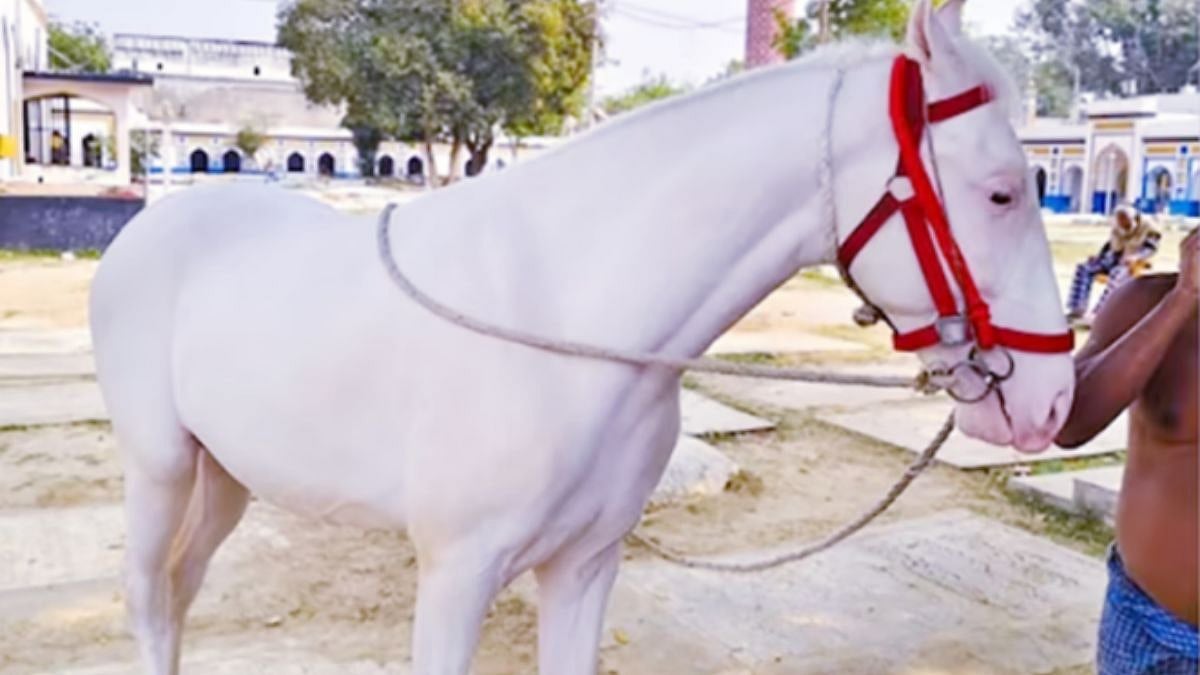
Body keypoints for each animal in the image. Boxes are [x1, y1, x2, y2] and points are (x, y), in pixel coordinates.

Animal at [89, 2, 1074, 673]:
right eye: (999, 190)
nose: (1050, 402)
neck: (570, 315)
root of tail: (151, 226)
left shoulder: (584, 567)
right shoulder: (455, 573)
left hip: (228, 475)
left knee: (181, 588)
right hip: (159, 468)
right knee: (148, 597)